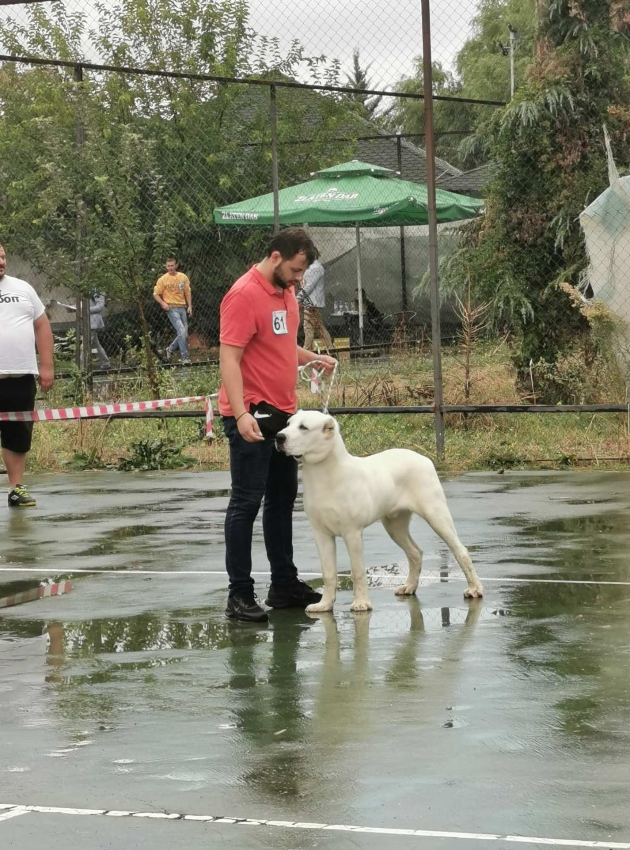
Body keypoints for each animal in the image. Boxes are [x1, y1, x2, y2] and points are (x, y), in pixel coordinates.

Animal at [274, 410, 486, 608]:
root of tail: (424, 458)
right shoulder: (321, 534)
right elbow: (328, 573)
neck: (326, 473)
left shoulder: (352, 532)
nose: (279, 437)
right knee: (415, 552)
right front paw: (324, 605)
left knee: (460, 551)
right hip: (395, 526)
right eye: (288, 424)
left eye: (304, 427)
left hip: (436, 515)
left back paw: (475, 589)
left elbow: (357, 570)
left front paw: (361, 604)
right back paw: (409, 586)